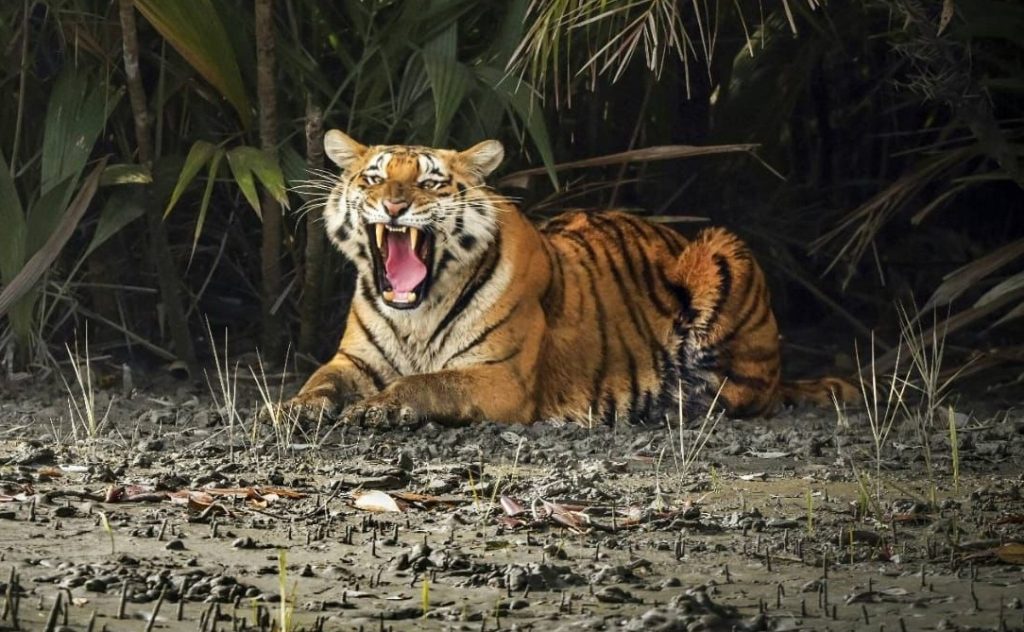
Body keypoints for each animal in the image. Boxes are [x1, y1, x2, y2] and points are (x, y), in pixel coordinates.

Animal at [287, 130, 857, 427]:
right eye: (374, 178)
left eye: (430, 183)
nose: (394, 205)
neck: (416, 313)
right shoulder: (353, 360)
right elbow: (321, 380)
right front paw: (295, 407)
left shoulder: (500, 377)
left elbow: (428, 382)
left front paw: (377, 407)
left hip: (725, 251)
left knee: (742, 394)